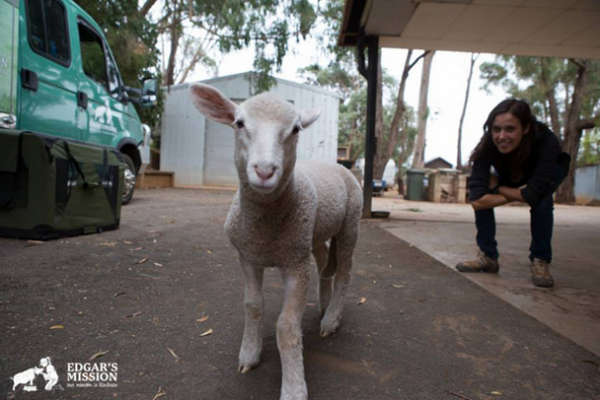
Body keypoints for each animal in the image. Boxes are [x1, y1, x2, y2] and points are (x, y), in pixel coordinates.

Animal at [190, 83, 364, 398]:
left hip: (349, 224)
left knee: (344, 271)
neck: (265, 229)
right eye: (239, 123)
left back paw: (331, 319)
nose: (264, 171)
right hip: (313, 235)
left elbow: (286, 327)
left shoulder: (296, 265)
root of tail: (339, 165)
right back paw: (324, 304)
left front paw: (294, 387)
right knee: (326, 266)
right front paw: (249, 354)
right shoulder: (248, 257)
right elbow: (253, 305)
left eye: (295, 129)